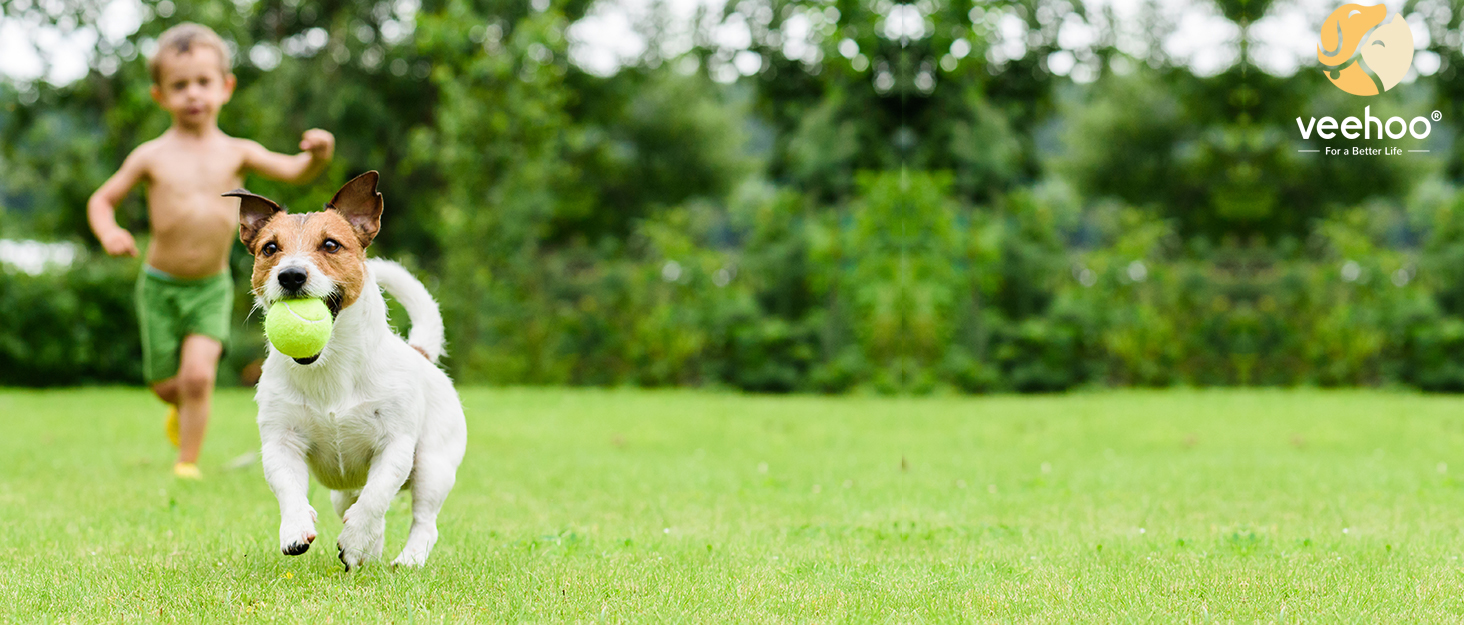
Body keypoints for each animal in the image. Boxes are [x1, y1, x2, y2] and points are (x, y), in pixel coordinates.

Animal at [225, 172, 465, 573]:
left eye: (331, 245)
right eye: (269, 248)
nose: (291, 275)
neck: (329, 366)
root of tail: (421, 354)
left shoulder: (396, 446)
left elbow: (375, 497)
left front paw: (354, 540)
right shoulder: (280, 441)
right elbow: (288, 487)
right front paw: (296, 528)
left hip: (433, 466)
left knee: (422, 520)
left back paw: (406, 558)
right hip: (345, 489)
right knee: (356, 503)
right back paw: (370, 549)